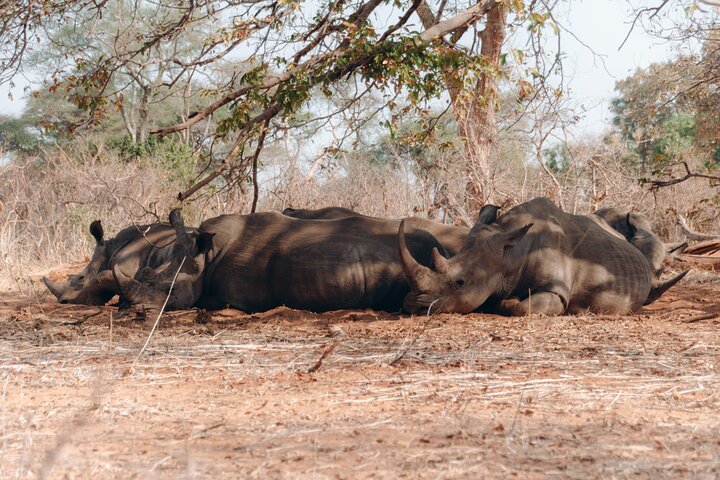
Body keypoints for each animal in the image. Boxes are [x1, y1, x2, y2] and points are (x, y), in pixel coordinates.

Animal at [398, 197, 687, 316]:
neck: (510, 253)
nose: (414, 305)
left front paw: (509, 301)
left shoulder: (555, 292)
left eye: (460, 283)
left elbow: (521, 307)